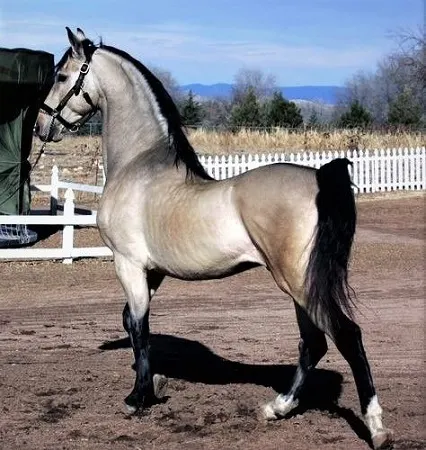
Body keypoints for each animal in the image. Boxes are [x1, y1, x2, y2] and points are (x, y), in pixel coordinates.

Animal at [36, 29, 392, 450]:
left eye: (61, 76)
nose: (41, 126)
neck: (140, 166)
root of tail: (319, 177)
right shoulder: (153, 271)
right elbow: (130, 321)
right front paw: (156, 381)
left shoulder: (128, 264)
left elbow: (138, 325)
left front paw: (137, 397)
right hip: (300, 285)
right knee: (314, 344)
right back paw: (277, 408)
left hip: (299, 282)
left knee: (346, 336)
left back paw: (376, 428)